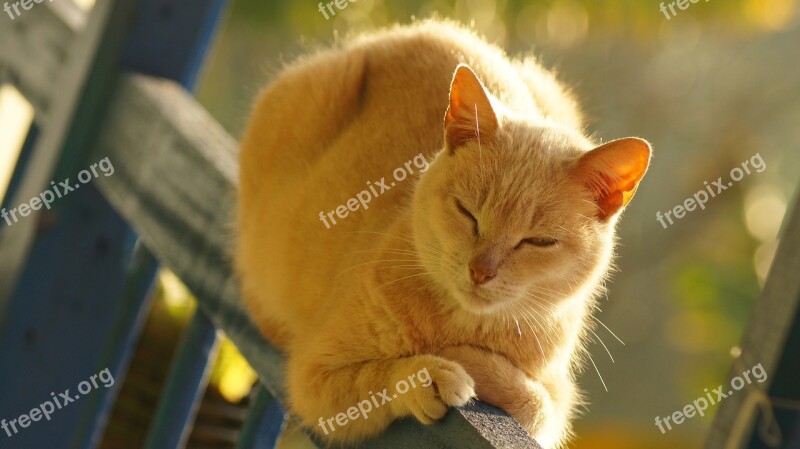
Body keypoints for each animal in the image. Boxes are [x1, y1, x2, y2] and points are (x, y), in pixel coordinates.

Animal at [236, 20, 648, 448]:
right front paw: (429, 373)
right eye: (467, 212)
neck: (462, 323)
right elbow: (377, 376)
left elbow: (532, 402)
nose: (480, 271)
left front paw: (464, 359)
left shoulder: (555, 404)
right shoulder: (312, 380)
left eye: (538, 241)